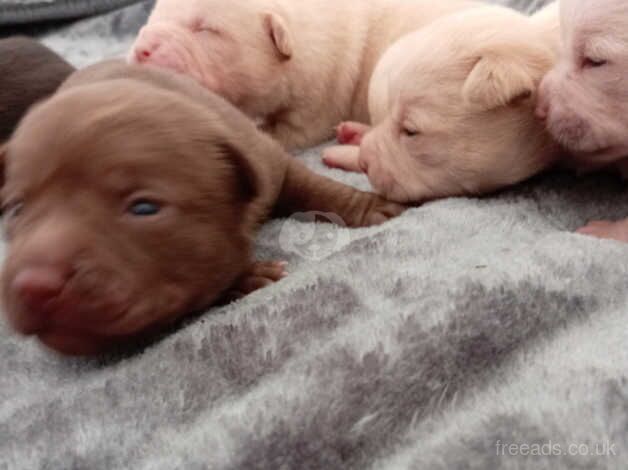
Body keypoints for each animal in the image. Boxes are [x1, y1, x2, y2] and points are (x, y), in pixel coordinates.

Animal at [0, 62, 402, 356]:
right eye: (16, 210)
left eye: (144, 207)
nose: (35, 285)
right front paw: (247, 278)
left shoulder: (268, 158)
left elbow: (314, 186)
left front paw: (372, 207)